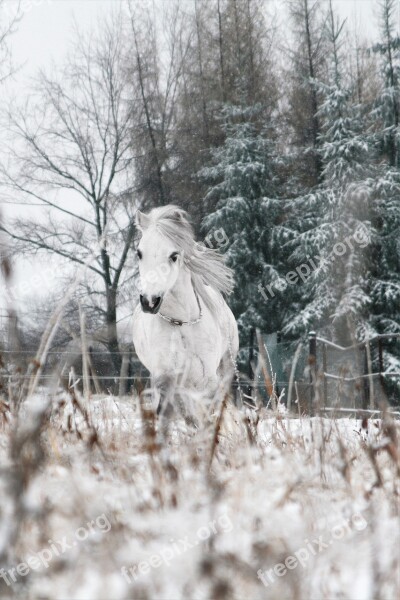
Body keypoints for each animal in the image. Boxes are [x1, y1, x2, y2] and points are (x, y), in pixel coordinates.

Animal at [132, 204, 238, 414]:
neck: (181, 323)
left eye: (174, 256)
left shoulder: (208, 379)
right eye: (139, 253)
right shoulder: (165, 378)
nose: (149, 301)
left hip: (226, 366)